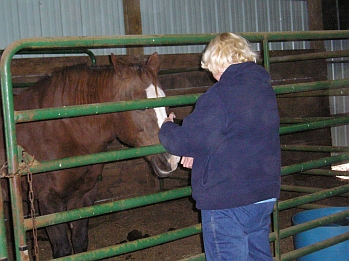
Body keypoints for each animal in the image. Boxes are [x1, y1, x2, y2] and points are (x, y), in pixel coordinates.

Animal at [0, 51, 178, 256]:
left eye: (164, 100)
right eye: (139, 105)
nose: (171, 159)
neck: (63, 128)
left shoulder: (84, 195)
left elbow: (80, 242)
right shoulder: (48, 201)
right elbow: (63, 249)